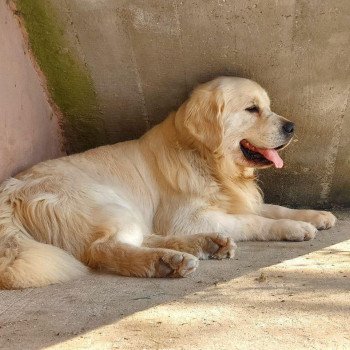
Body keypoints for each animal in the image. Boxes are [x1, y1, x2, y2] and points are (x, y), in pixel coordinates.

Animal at [0, 77, 336, 290]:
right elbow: (254, 221)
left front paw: (315, 216)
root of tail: (12, 191)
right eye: (252, 109)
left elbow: (275, 208)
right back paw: (166, 262)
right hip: (106, 203)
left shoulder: (234, 201)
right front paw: (294, 228)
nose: (292, 127)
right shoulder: (187, 217)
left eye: (267, 106)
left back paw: (203, 245)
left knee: (143, 237)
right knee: (104, 248)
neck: (206, 160)